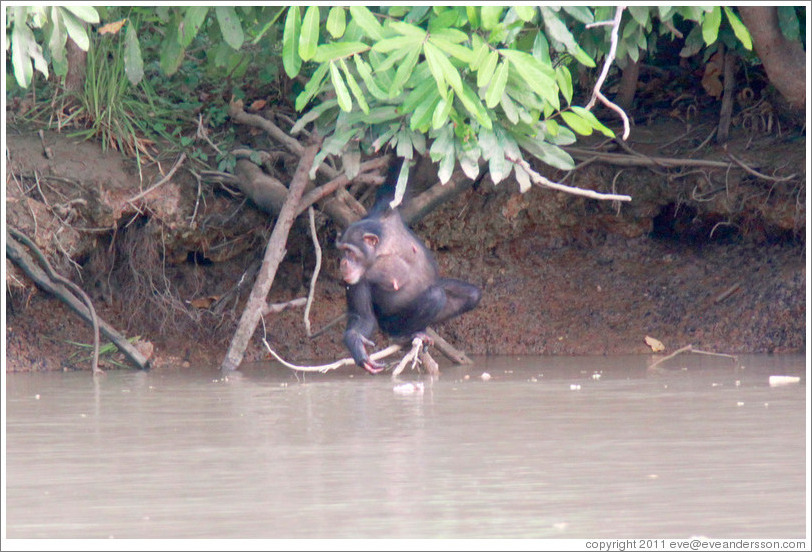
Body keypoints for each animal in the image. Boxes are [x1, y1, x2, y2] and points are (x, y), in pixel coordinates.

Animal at [336, 160, 482, 376]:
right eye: (343, 251)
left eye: (350, 252)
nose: (343, 262)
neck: (382, 251)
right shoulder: (357, 279)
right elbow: (362, 317)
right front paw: (356, 344)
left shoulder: (387, 207)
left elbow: (397, 177)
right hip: (390, 324)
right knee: (435, 296)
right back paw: (404, 336)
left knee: (470, 295)